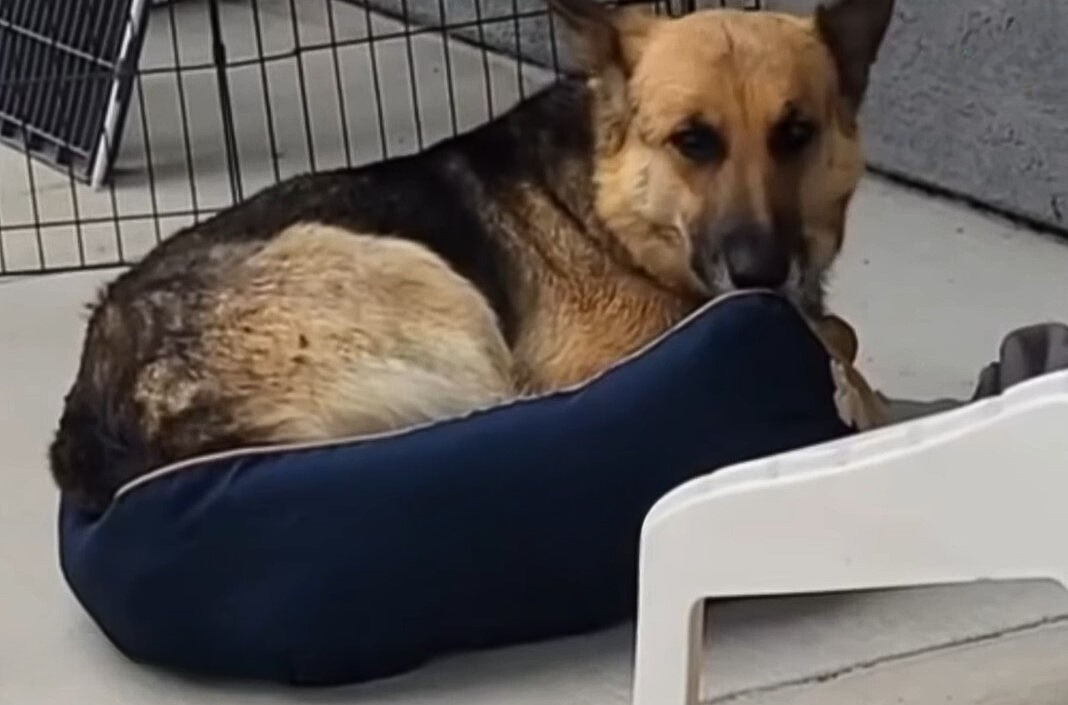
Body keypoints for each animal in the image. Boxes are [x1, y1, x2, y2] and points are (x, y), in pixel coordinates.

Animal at [54, 0, 897, 508]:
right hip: (419, 278)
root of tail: (105, 415)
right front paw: (852, 387)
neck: (608, 211)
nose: (763, 274)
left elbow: (843, 329)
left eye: (796, 133)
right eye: (694, 141)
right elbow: (838, 344)